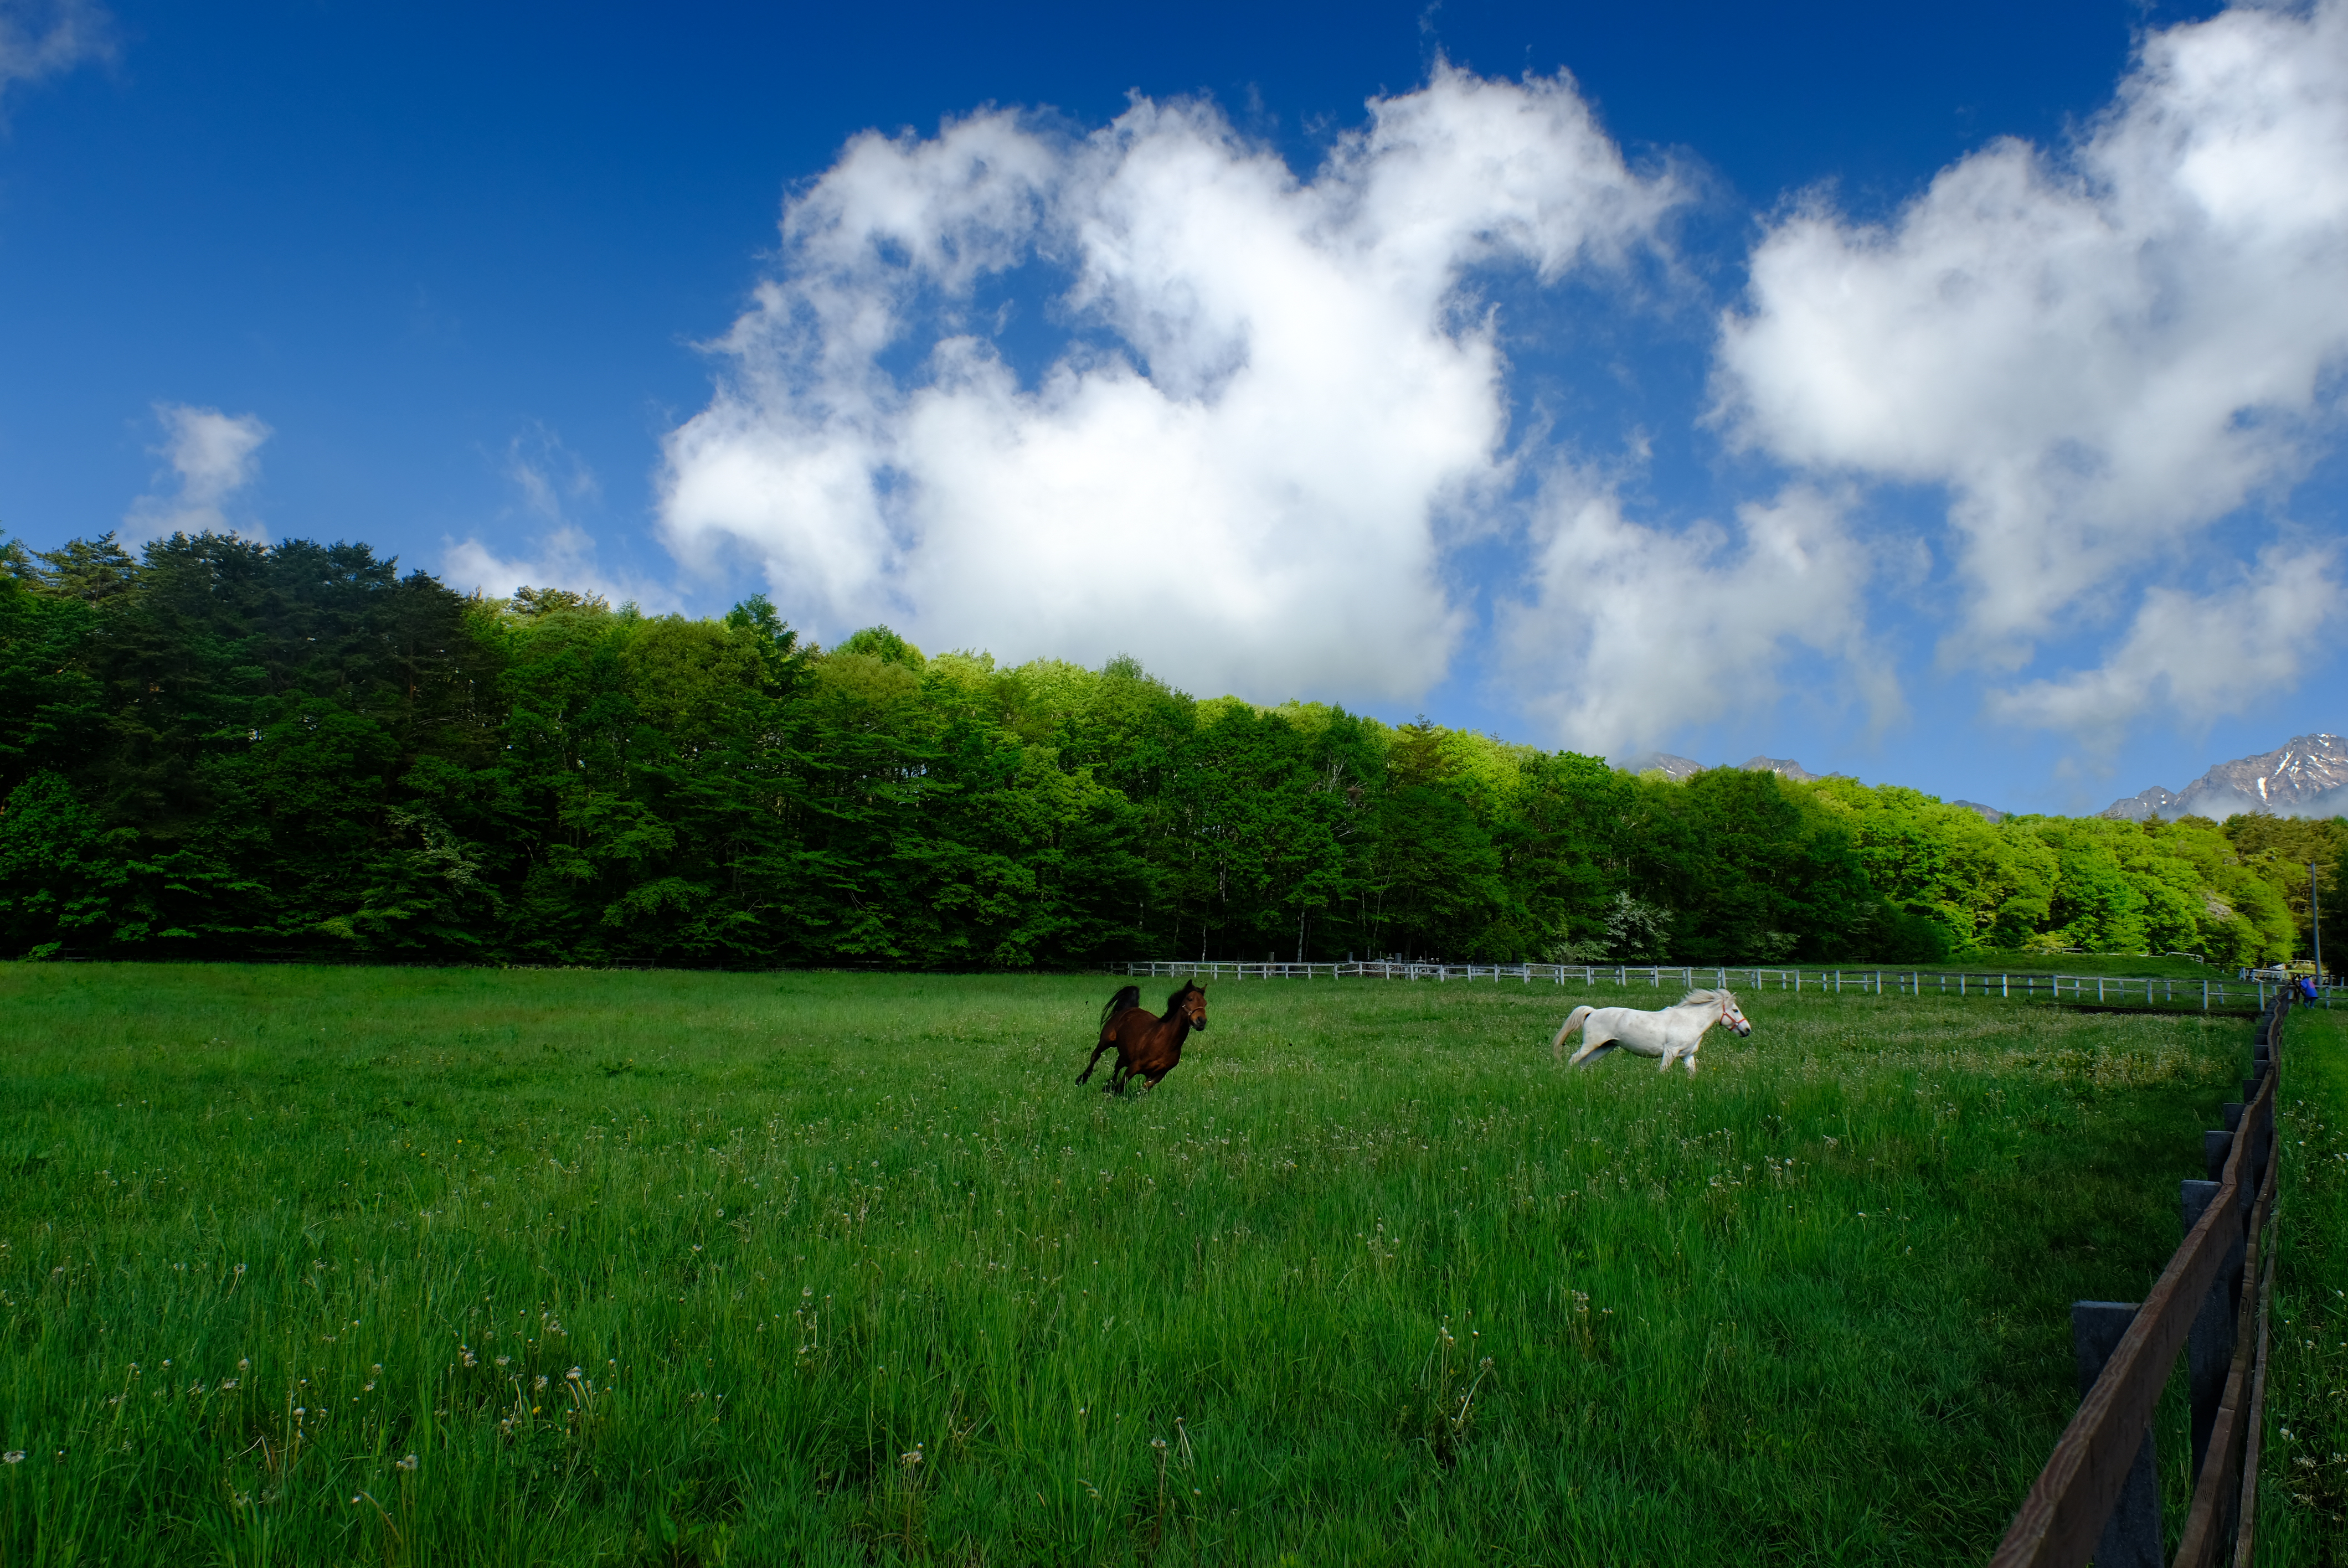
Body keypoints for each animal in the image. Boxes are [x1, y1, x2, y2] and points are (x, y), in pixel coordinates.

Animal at [1075, 981, 1202, 1089]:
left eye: (1204, 1003)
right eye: (1190, 999)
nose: (1202, 1021)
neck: (1166, 1042)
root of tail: (1128, 1009)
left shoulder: (1158, 1075)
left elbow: (1142, 1090)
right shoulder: (1134, 1066)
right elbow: (1121, 1086)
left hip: (1125, 1054)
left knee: (1118, 1065)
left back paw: (1109, 1083)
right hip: (1106, 1041)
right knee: (1096, 1055)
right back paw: (1082, 1079)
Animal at [1549, 991, 1756, 1080]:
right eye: (1736, 1010)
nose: (1747, 1030)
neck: (1689, 1020)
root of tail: (1592, 1011)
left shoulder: (1688, 1056)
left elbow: (1692, 1075)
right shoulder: (1671, 1052)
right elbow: (1662, 1072)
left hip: (1605, 1047)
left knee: (1583, 1064)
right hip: (1591, 1045)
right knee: (1574, 1059)